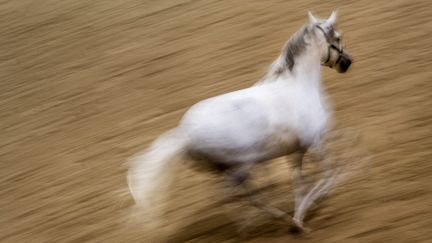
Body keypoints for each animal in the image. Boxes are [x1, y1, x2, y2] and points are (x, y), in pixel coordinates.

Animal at [127, 10, 352, 232]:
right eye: (338, 37)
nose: (347, 62)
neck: (299, 86)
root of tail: (185, 136)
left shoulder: (296, 151)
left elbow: (299, 181)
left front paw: (299, 215)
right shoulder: (315, 142)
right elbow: (329, 173)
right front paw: (308, 209)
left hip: (232, 169)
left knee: (243, 195)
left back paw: (274, 218)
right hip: (241, 167)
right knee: (230, 196)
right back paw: (256, 223)